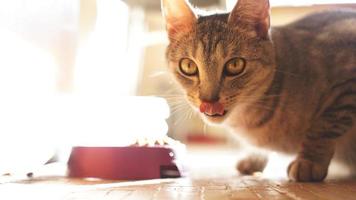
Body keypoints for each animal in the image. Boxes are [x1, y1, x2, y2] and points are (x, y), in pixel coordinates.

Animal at [161, 0, 356, 182]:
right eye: (188, 66)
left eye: (235, 65)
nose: (208, 101)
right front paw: (254, 158)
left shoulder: (346, 86)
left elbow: (323, 127)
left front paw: (309, 161)